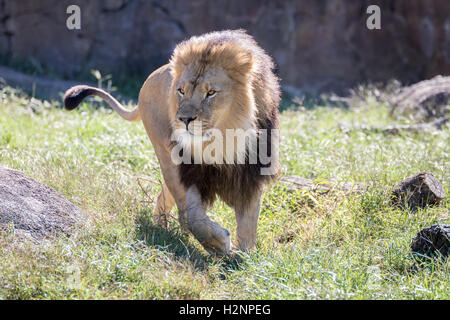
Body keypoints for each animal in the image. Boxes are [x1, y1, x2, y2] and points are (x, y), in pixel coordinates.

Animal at [63, 30, 282, 255]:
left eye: (211, 93)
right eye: (181, 91)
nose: (184, 119)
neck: (222, 141)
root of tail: (148, 79)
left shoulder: (250, 173)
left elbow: (248, 221)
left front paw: (244, 255)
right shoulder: (190, 171)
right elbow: (193, 217)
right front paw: (221, 244)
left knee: (166, 197)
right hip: (167, 156)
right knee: (181, 209)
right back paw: (164, 232)